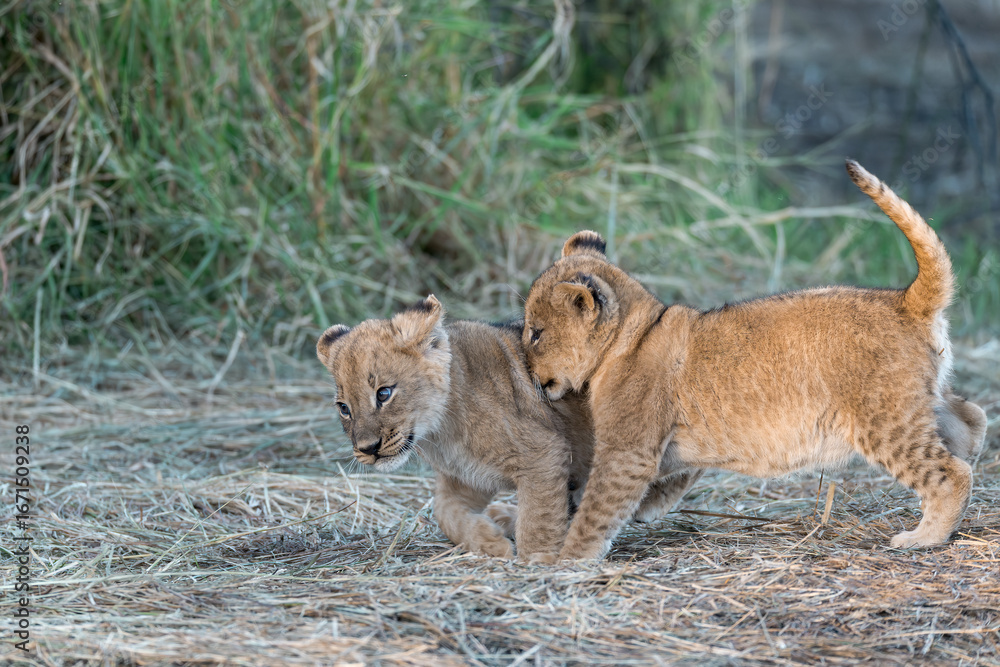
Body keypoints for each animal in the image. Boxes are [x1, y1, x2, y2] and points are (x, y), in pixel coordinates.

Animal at [521, 159, 988, 560]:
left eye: (536, 332)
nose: (525, 368)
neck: (629, 336)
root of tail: (904, 300)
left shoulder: (627, 450)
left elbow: (598, 510)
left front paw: (565, 560)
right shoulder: (670, 450)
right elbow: (666, 482)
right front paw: (641, 510)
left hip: (884, 419)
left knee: (951, 473)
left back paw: (924, 537)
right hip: (919, 402)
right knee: (972, 421)